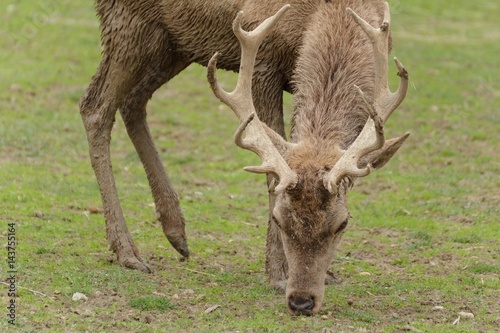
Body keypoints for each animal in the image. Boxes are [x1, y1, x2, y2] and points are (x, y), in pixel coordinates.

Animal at [79, 0, 406, 314]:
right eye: (278, 219)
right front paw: (277, 273)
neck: (334, 12)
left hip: (175, 44)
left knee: (133, 101)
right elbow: (271, 171)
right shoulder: (262, 61)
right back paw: (127, 252)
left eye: (343, 223)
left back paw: (176, 234)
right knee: (95, 106)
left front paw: (328, 273)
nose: (301, 301)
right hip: (129, 25)